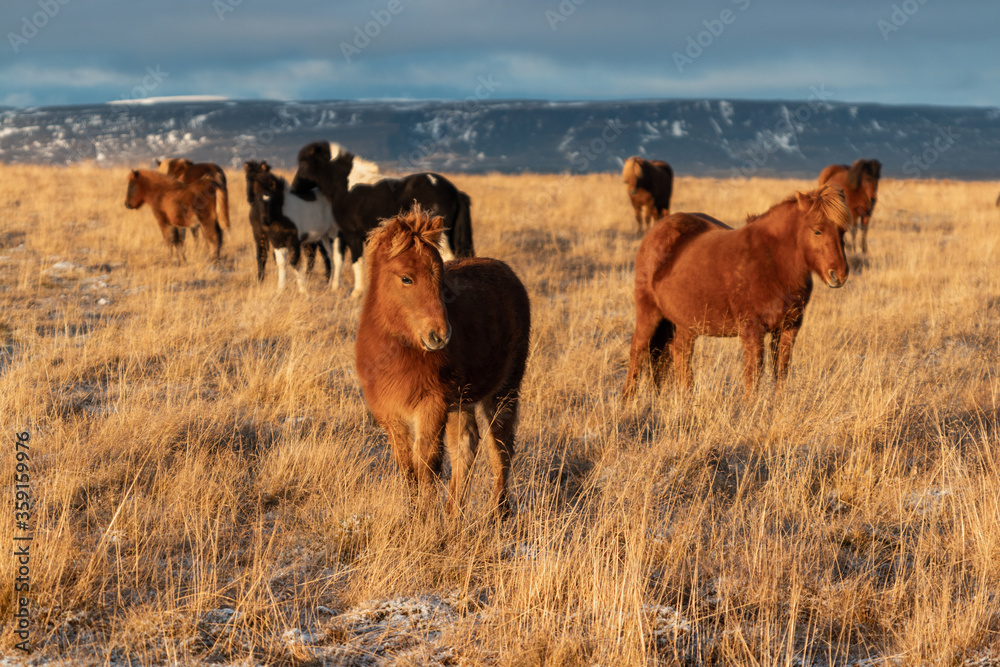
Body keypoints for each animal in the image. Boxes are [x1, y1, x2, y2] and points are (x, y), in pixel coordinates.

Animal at [292, 142, 474, 298]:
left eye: (303, 163)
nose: (294, 189)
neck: (346, 186)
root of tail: (454, 191)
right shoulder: (342, 234)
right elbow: (339, 259)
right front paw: (336, 288)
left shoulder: (352, 234)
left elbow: (356, 261)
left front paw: (356, 292)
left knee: (447, 257)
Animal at [358, 207, 536, 516]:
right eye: (406, 278)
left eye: (440, 278)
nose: (440, 335)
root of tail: (507, 272)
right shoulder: (391, 415)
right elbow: (407, 467)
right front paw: (414, 514)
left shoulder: (432, 406)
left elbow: (427, 464)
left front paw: (426, 518)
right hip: (462, 401)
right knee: (467, 444)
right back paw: (454, 512)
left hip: (504, 390)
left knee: (500, 446)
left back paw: (498, 513)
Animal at [620, 184, 848, 396]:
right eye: (817, 230)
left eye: (843, 231)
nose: (839, 275)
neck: (772, 261)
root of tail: (655, 231)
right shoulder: (752, 330)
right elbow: (753, 373)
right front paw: (750, 410)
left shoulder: (789, 328)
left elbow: (781, 371)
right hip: (649, 312)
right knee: (638, 350)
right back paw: (628, 402)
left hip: (686, 323)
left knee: (680, 353)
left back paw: (688, 400)